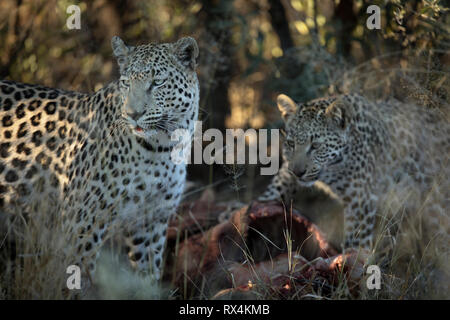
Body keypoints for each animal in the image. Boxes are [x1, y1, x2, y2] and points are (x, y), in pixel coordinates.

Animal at [0, 36, 200, 284]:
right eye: (126, 83)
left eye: (158, 82)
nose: (133, 114)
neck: (162, 148)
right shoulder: (83, 225)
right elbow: (78, 280)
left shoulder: (151, 222)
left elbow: (148, 277)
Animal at [258, 93, 448, 255]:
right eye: (291, 144)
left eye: (315, 145)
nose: (298, 172)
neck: (332, 169)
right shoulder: (288, 168)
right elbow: (278, 184)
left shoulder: (360, 200)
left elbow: (356, 242)